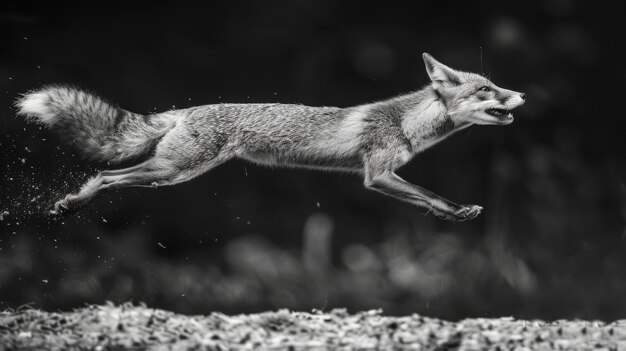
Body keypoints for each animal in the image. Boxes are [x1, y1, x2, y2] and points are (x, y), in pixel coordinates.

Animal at [14, 53, 520, 221]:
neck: (405, 121)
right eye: (485, 89)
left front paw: (457, 214)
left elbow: (427, 199)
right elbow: (430, 194)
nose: (521, 94)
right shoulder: (377, 174)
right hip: (173, 172)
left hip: (170, 172)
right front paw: (457, 210)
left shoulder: (383, 176)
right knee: (104, 175)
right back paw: (71, 204)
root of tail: (184, 111)